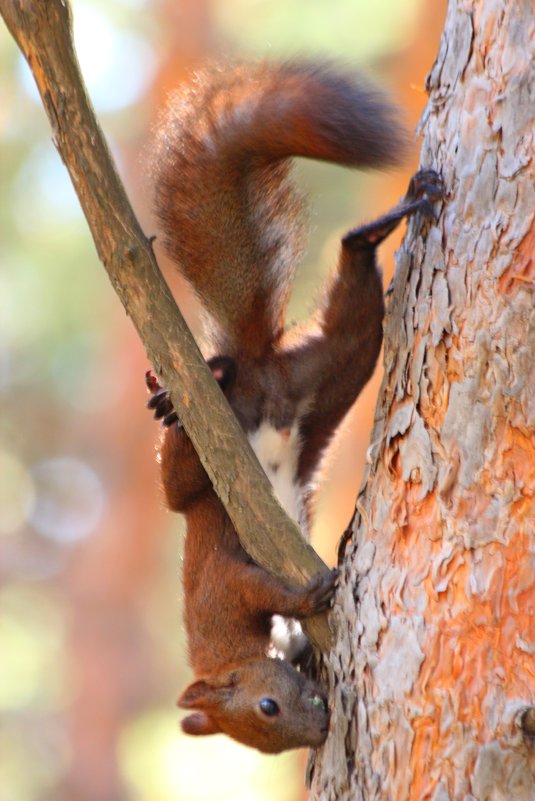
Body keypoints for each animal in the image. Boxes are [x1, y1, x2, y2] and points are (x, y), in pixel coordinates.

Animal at [147, 61, 444, 752]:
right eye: (271, 729)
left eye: (267, 706)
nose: (321, 729)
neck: (232, 652)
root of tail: (260, 373)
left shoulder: (224, 593)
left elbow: (264, 586)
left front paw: (309, 597)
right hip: (334, 370)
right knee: (353, 308)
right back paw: (373, 233)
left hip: (212, 448)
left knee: (178, 479)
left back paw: (189, 389)